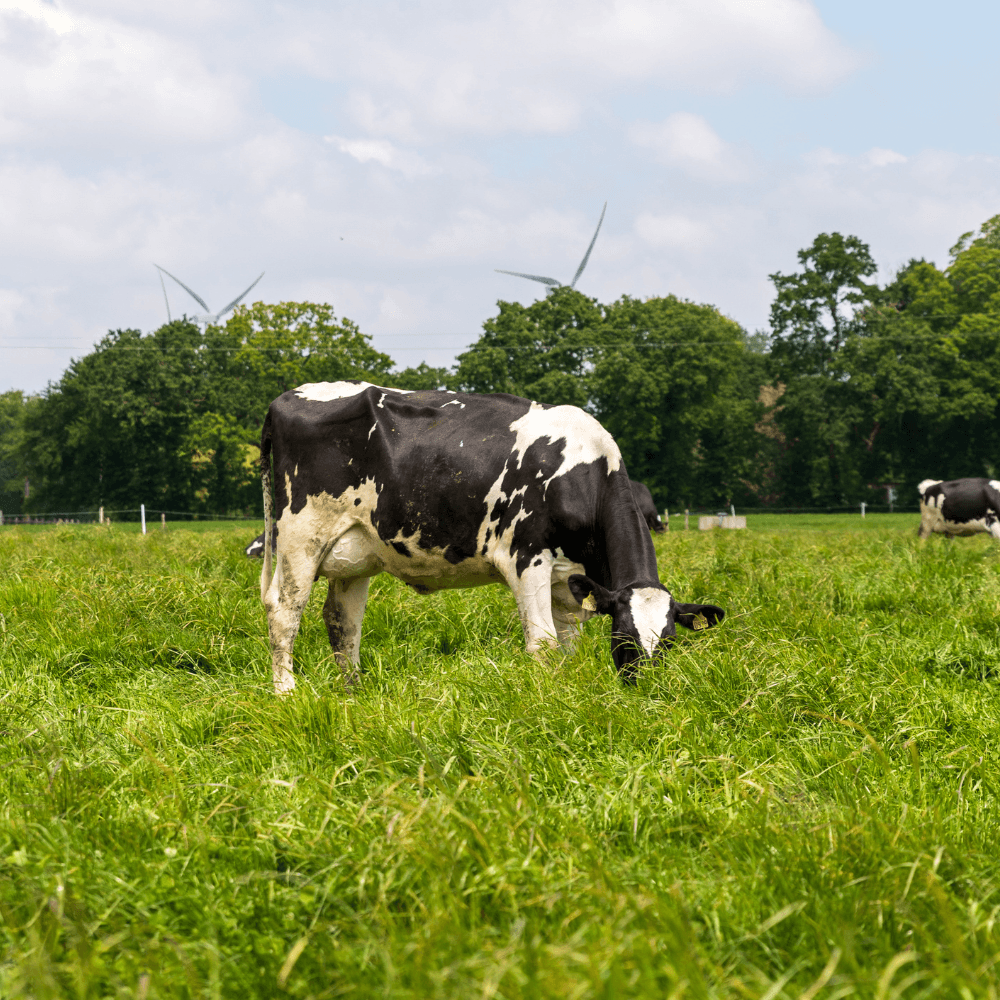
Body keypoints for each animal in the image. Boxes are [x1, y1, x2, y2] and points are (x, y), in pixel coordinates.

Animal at [258, 381, 724, 694]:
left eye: (668, 642)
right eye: (624, 638)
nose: (647, 691)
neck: (581, 474)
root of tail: (285, 398)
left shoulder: (570, 587)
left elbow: (567, 648)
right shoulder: (527, 559)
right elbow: (542, 643)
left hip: (354, 553)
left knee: (342, 622)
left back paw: (353, 692)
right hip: (301, 536)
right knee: (285, 611)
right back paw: (287, 693)